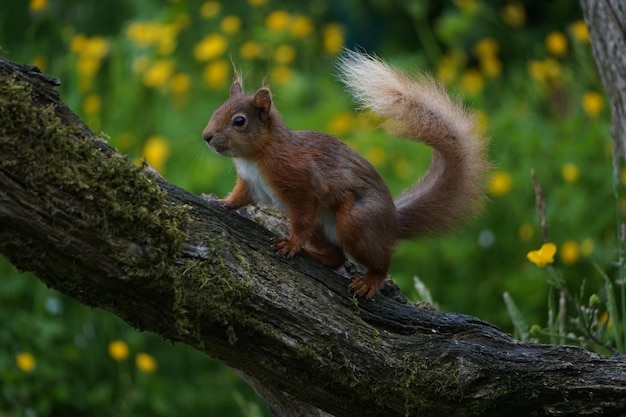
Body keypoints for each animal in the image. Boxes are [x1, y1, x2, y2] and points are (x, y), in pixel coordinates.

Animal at [202, 50, 490, 298]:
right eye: (216, 110)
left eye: (239, 121)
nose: (206, 136)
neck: (255, 157)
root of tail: (392, 220)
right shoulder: (250, 183)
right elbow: (240, 197)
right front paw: (221, 202)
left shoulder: (303, 185)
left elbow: (302, 218)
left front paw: (292, 244)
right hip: (323, 227)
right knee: (337, 257)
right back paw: (316, 256)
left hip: (356, 222)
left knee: (381, 261)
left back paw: (369, 281)